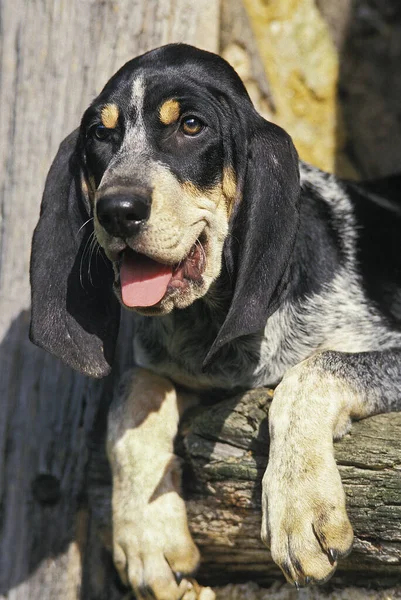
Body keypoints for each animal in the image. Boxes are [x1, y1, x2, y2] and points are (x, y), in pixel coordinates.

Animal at [30, 44, 400, 596]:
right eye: (100, 133)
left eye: (191, 126)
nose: (116, 209)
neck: (209, 319)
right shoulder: (175, 373)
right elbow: (132, 399)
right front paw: (148, 539)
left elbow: (313, 370)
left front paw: (298, 507)